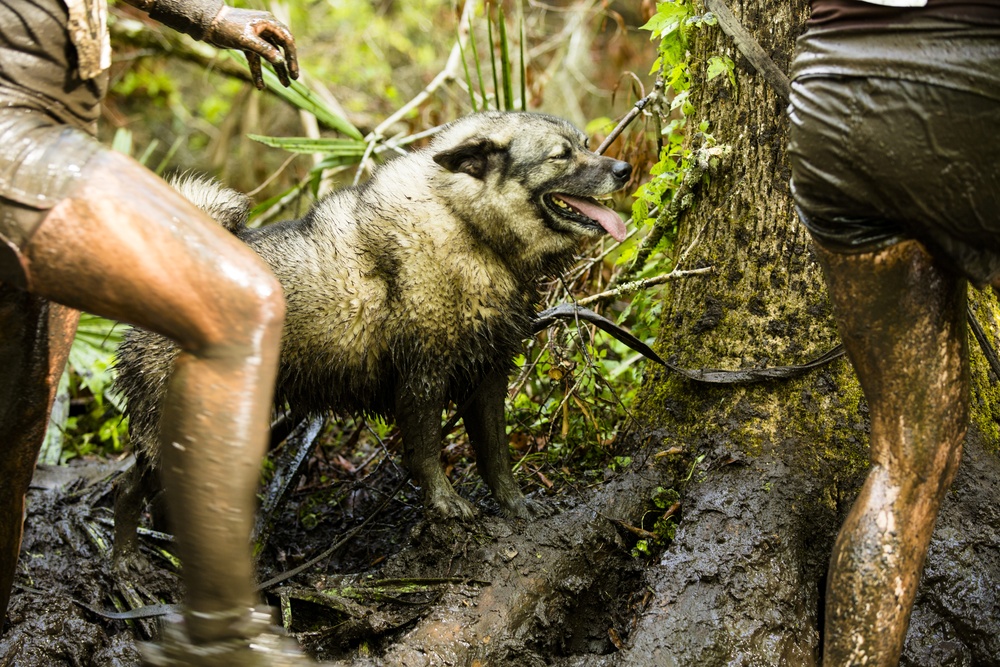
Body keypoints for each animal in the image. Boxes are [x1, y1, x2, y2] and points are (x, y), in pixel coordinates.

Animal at [113, 111, 628, 544]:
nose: (623, 168)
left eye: (586, 144)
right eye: (561, 154)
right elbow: (425, 453)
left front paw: (516, 505)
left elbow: (495, 456)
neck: (466, 225)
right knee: (129, 491)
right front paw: (444, 504)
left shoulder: (487, 378)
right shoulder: (422, 380)